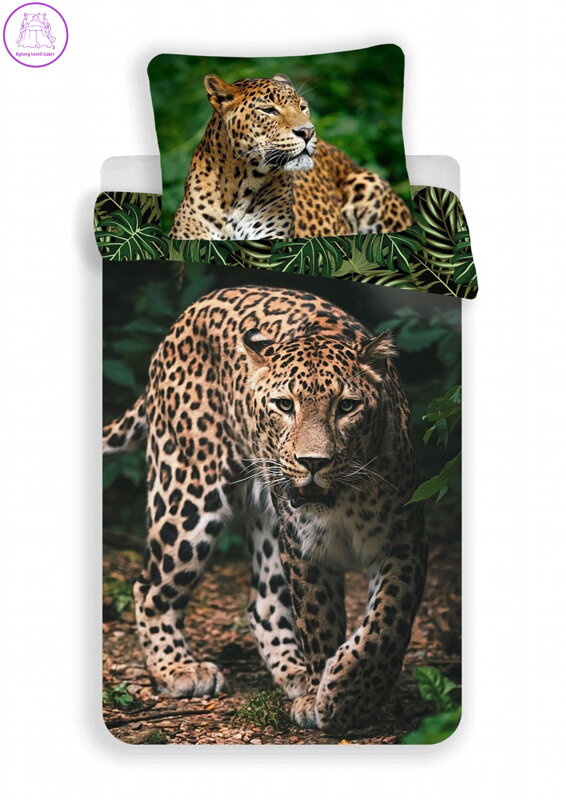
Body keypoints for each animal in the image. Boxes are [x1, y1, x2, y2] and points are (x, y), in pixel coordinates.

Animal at [103, 285, 427, 732]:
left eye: (347, 406)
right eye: (284, 405)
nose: (313, 462)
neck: (342, 500)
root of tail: (187, 313)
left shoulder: (404, 541)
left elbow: (386, 623)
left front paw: (349, 693)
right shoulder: (304, 550)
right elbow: (319, 623)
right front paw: (327, 695)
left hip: (266, 522)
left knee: (264, 604)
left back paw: (294, 674)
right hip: (187, 493)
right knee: (150, 586)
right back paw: (179, 669)